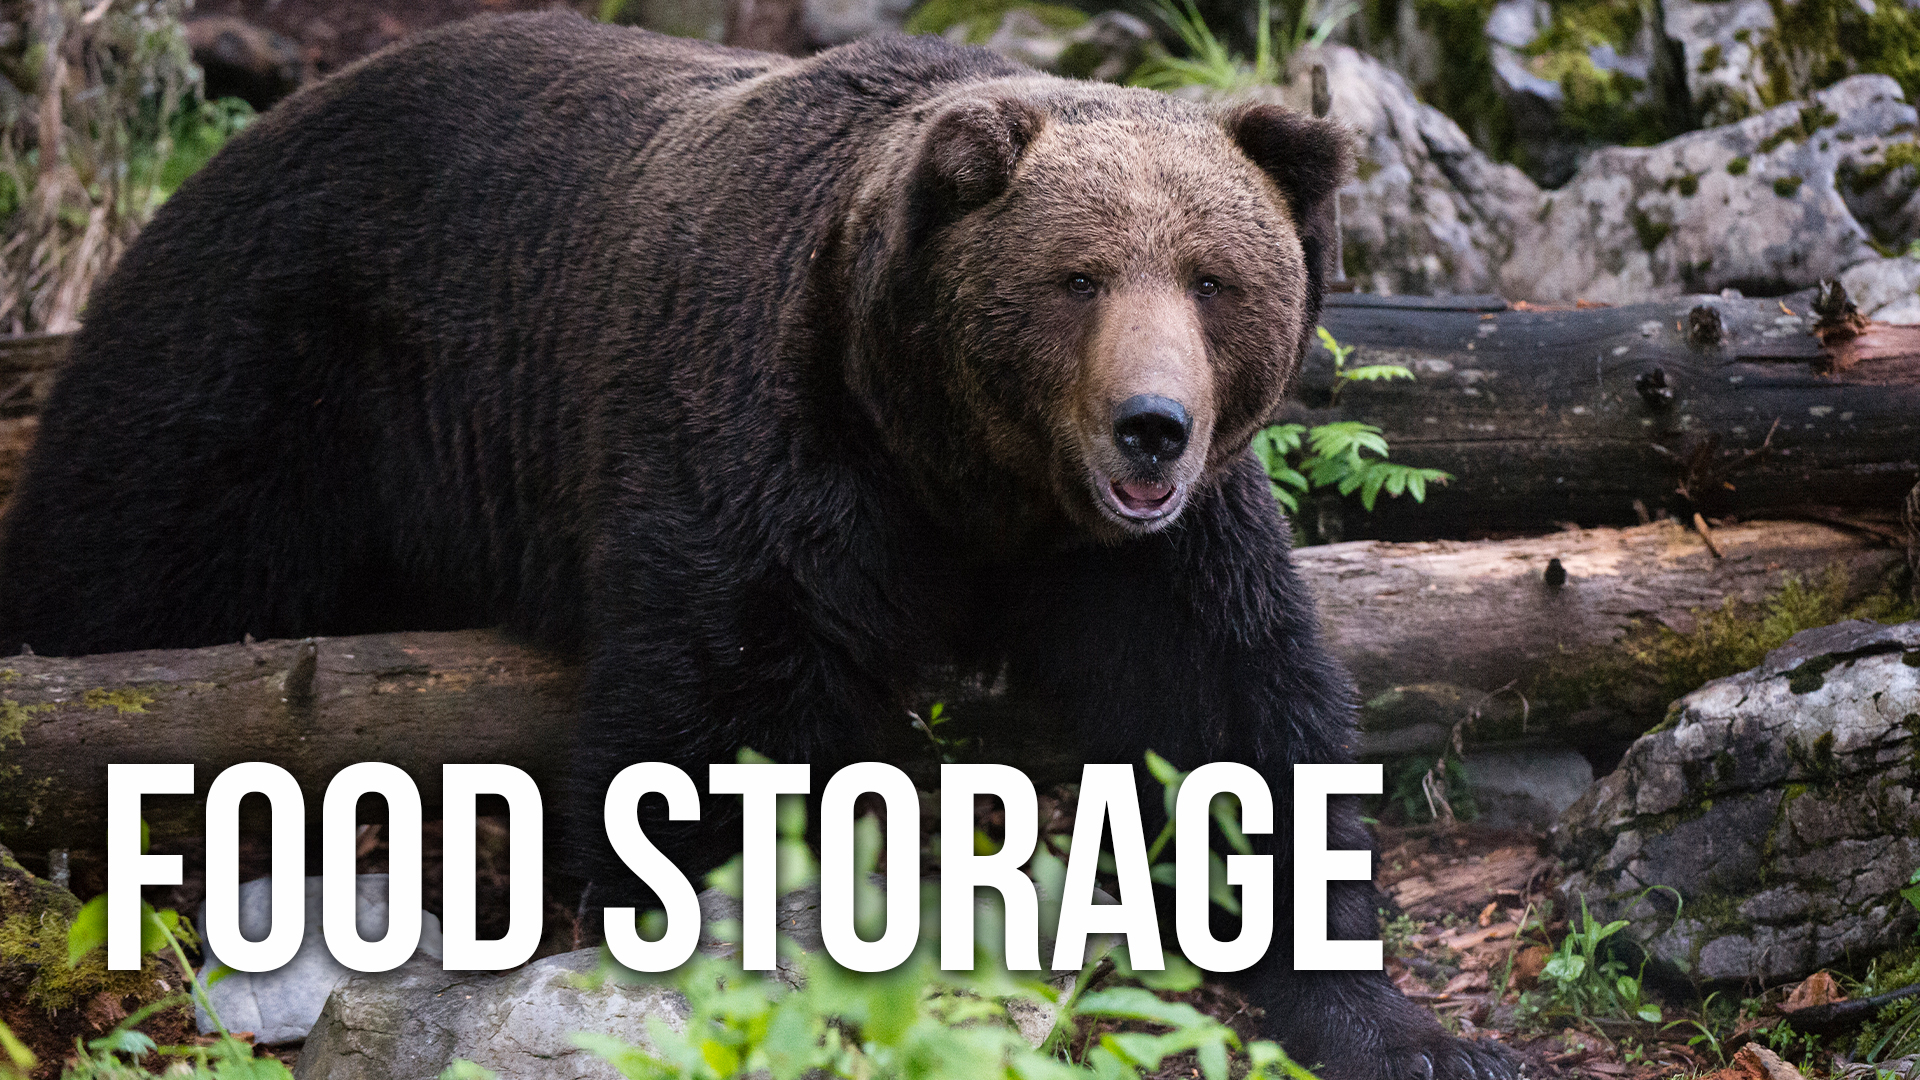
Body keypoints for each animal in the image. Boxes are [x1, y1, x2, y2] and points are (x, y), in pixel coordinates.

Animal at [0, 12, 1512, 1078]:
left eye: (1215, 277)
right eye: (1077, 276)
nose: (1152, 426)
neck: (965, 470)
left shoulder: (1144, 553)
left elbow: (1238, 723)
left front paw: (1416, 1032)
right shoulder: (762, 444)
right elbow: (721, 722)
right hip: (272, 370)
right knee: (128, 562)